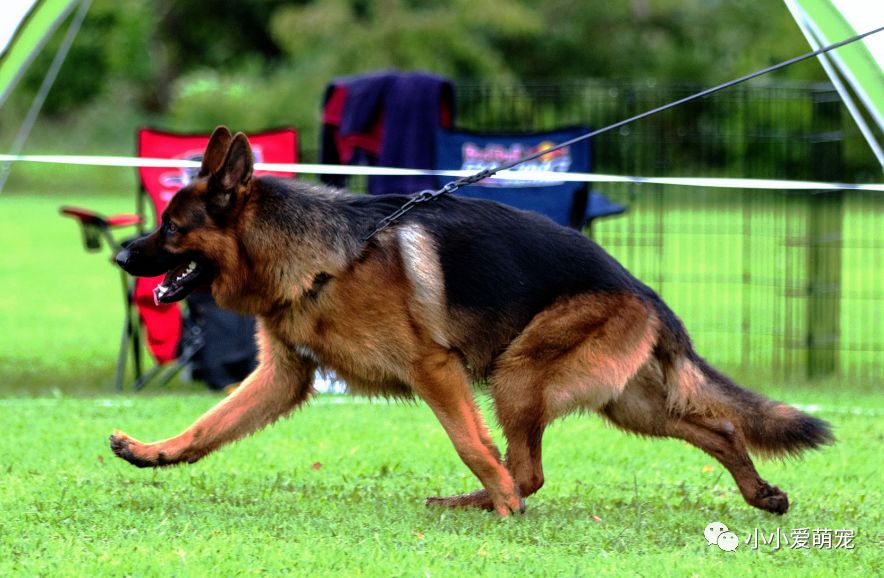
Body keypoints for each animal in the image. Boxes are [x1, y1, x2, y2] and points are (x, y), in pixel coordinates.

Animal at [110, 125, 828, 512]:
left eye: (171, 228)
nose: (119, 254)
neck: (317, 257)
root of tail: (646, 293)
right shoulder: (283, 378)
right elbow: (208, 425)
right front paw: (153, 453)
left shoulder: (435, 368)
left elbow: (470, 443)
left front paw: (502, 500)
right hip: (628, 404)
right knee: (721, 428)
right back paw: (760, 493)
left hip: (520, 375)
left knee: (528, 469)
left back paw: (491, 500)